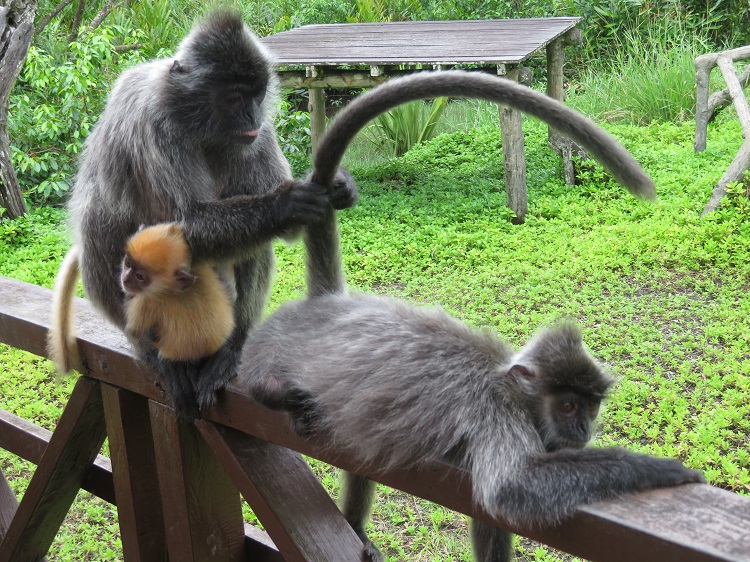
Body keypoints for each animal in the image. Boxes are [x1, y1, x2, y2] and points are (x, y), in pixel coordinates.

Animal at [120, 222, 235, 362]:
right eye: (128, 263)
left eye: (140, 276)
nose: (125, 279)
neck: (168, 290)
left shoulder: (147, 302)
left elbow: (133, 332)